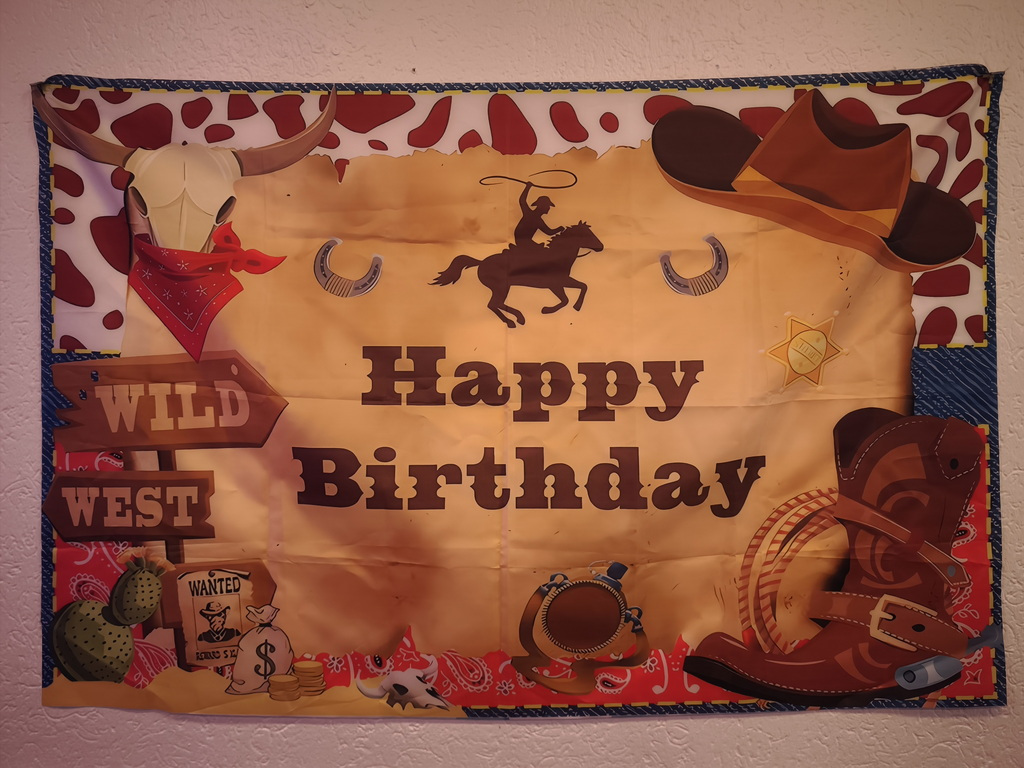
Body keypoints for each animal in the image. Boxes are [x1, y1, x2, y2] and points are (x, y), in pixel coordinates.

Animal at [430, 221, 604, 328]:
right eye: (587, 234)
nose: (601, 247)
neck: (557, 257)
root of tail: (481, 262)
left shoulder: (560, 282)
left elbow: (582, 286)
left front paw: (576, 306)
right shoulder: (555, 284)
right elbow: (566, 299)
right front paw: (547, 309)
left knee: (493, 304)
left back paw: (513, 321)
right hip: (501, 287)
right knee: (495, 303)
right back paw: (517, 319)